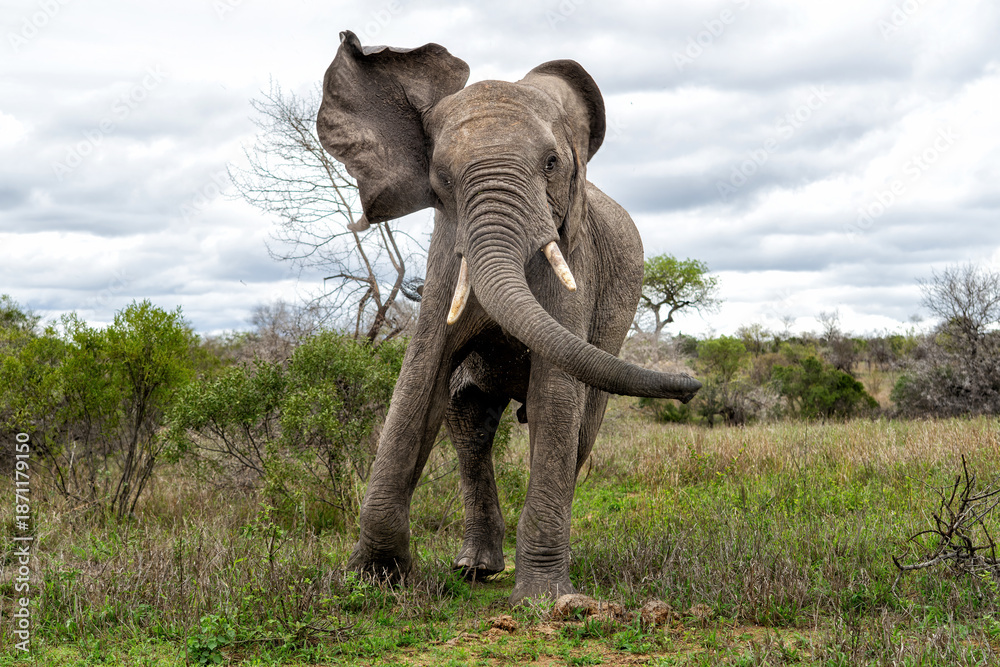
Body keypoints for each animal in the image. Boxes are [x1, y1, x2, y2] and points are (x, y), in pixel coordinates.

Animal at [317, 31, 701, 604]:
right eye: (441, 177)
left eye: (551, 164)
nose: (691, 386)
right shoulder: (443, 252)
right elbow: (419, 380)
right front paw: (374, 581)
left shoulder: (575, 255)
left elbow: (555, 394)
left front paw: (544, 599)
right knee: (468, 416)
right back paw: (474, 569)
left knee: (578, 425)